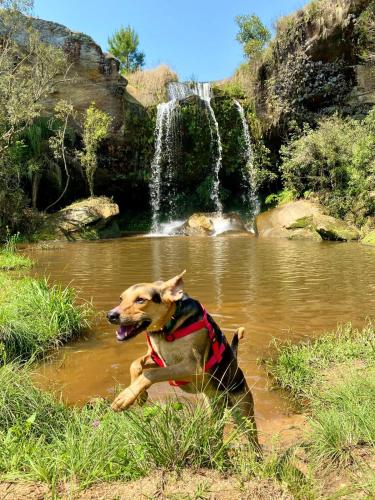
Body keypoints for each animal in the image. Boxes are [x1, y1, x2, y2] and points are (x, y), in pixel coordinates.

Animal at [106, 272, 258, 448]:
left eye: (140, 300)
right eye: (121, 298)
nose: (110, 315)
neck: (169, 326)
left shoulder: (191, 367)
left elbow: (151, 374)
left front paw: (123, 399)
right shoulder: (156, 357)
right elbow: (135, 365)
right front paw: (139, 395)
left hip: (244, 415)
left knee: (254, 442)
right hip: (214, 411)